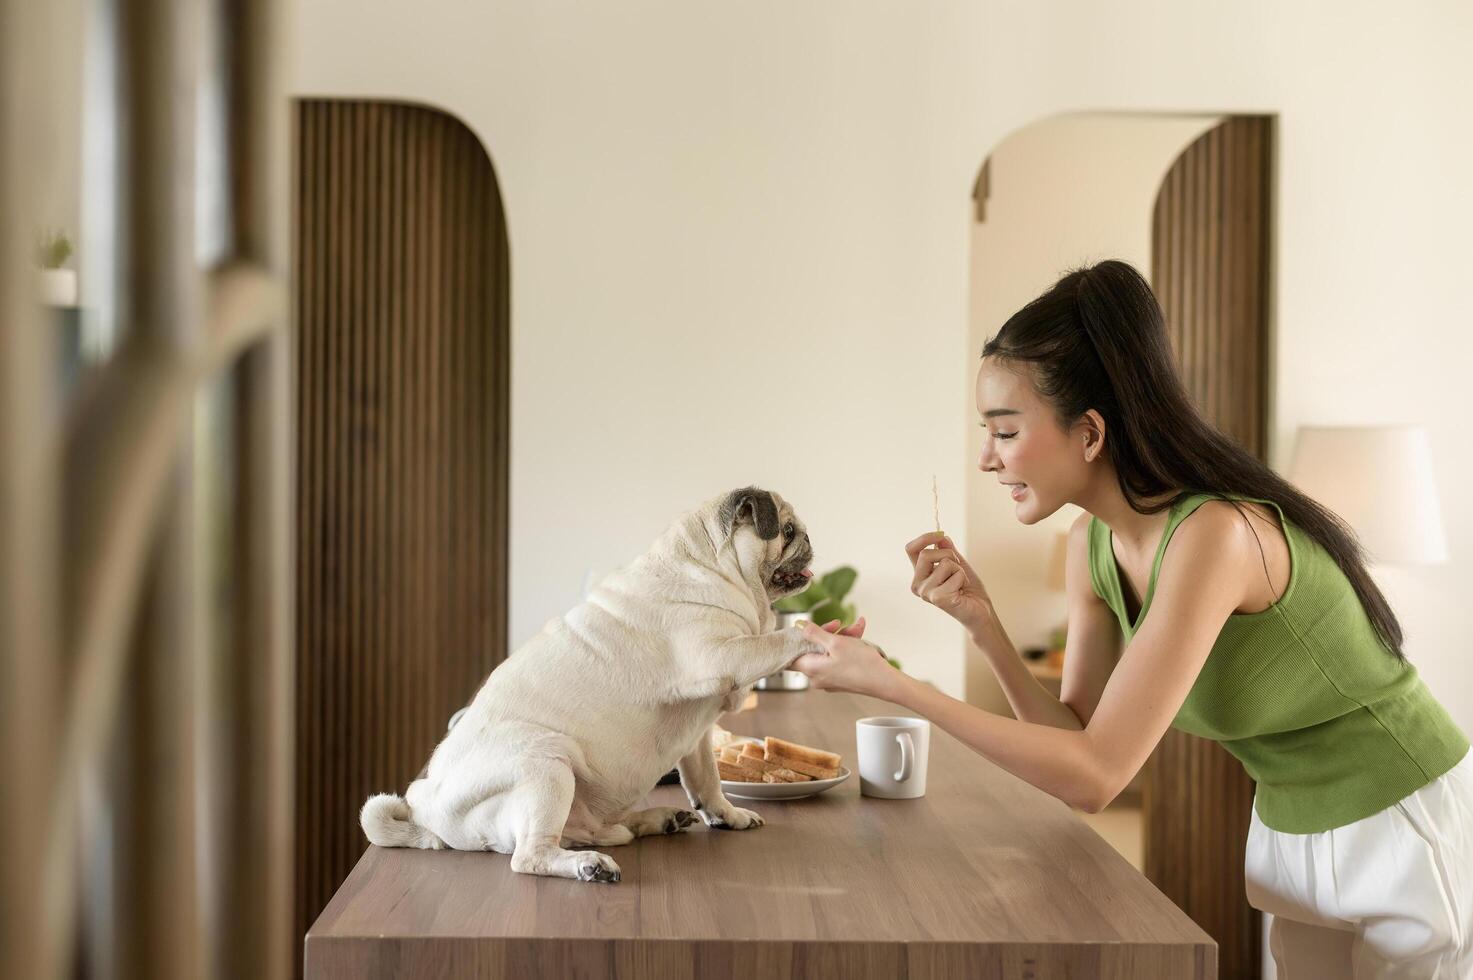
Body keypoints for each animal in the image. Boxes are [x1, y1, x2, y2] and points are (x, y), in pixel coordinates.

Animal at [356, 486, 818, 884]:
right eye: (787, 530)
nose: (810, 537)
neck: (711, 566)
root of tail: (428, 816)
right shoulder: (720, 655)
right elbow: (780, 640)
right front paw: (815, 637)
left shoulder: (699, 734)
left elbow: (708, 780)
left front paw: (727, 815)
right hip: (547, 765)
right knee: (532, 854)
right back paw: (590, 866)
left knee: (589, 830)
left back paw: (654, 820)